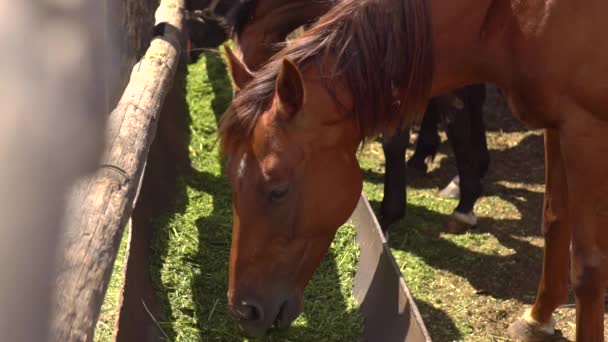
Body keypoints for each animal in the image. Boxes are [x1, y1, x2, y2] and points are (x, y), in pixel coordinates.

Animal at [221, 0, 608, 340]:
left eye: (278, 189)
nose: (244, 312)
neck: (515, 16)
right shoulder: (556, 126)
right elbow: (554, 221)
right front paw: (537, 319)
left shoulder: (585, 130)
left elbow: (588, 267)